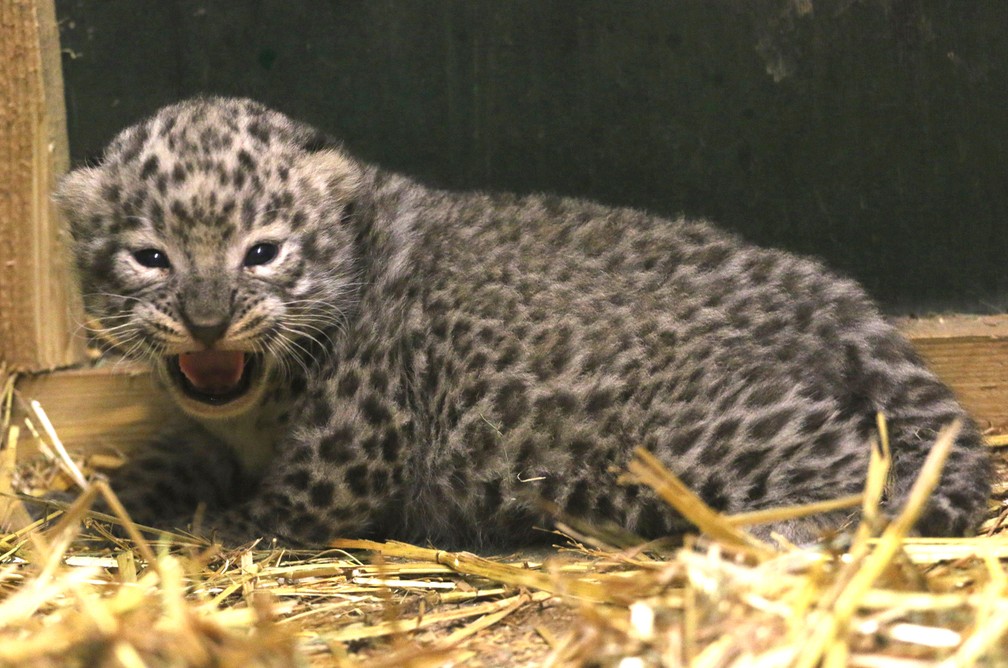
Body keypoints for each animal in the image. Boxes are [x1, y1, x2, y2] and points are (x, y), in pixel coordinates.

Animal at [54, 96, 990, 547]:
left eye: (262, 253)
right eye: (151, 258)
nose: (208, 322)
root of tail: (844, 304)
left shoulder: (353, 445)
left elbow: (287, 507)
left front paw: (204, 531)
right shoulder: (212, 429)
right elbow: (169, 455)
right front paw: (94, 497)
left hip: (706, 435)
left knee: (858, 474)